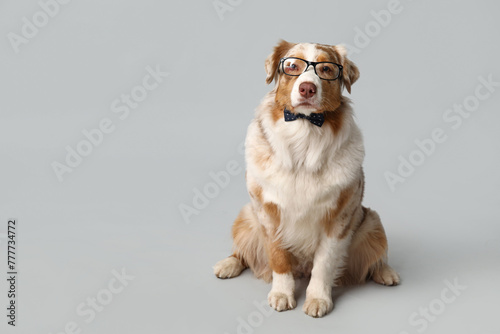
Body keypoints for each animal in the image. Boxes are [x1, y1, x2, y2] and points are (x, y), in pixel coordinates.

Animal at [213, 39, 400, 318]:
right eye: (292, 66)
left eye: (326, 69)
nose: (307, 88)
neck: (305, 132)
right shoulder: (268, 213)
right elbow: (278, 257)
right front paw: (282, 293)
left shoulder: (339, 218)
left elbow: (324, 264)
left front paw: (318, 299)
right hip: (245, 215)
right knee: (242, 252)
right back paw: (228, 264)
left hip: (372, 221)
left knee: (375, 258)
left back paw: (386, 272)